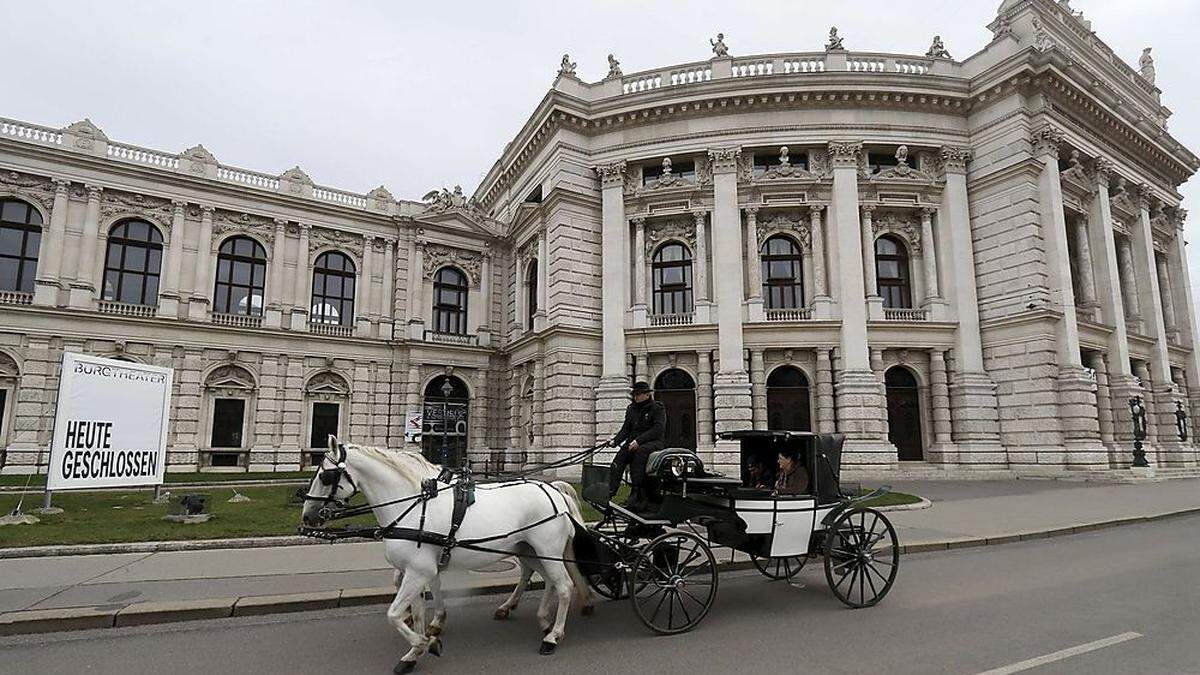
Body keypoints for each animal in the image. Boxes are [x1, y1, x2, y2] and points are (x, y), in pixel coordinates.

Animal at [302, 437, 592, 667]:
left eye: (325, 476)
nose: (307, 516)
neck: (410, 506)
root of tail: (554, 488)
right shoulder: (417, 571)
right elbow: (419, 608)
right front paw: (415, 650)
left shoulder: (418, 571)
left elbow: (393, 614)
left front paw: (426, 643)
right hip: (530, 550)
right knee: (547, 580)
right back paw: (538, 618)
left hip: (545, 549)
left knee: (564, 586)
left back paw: (553, 636)